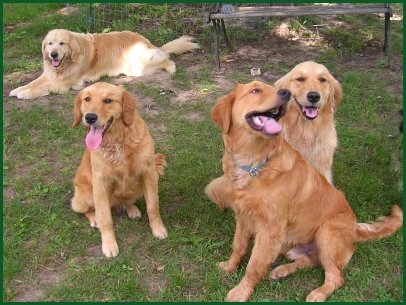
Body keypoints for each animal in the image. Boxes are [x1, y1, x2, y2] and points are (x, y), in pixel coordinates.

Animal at [8, 28, 199, 98]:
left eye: (62, 43)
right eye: (49, 43)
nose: (53, 55)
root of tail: (147, 42)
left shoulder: (63, 83)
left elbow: (41, 88)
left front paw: (25, 94)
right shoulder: (49, 74)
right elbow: (33, 82)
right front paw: (18, 89)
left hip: (137, 68)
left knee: (166, 58)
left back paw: (171, 67)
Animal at [71, 81, 168, 256]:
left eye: (108, 100)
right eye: (87, 99)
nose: (90, 117)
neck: (118, 141)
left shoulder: (149, 173)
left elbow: (153, 206)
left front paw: (158, 229)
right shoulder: (100, 183)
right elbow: (105, 218)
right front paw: (109, 245)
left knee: (126, 200)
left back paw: (132, 209)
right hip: (84, 197)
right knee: (87, 210)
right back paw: (94, 218)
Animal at [205, 81, 402, 302]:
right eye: (255, 90)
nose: (286, 93)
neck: (255, 164)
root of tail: (355, 229)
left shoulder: (270, 228)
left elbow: (254, 263)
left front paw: (241, 291)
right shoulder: (243, 216)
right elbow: (238, 246)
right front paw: (229, 267)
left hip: (326, 231)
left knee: (336, 277)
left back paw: (318, 293)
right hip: (294, 247)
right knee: (310, 261)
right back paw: (282, 270)